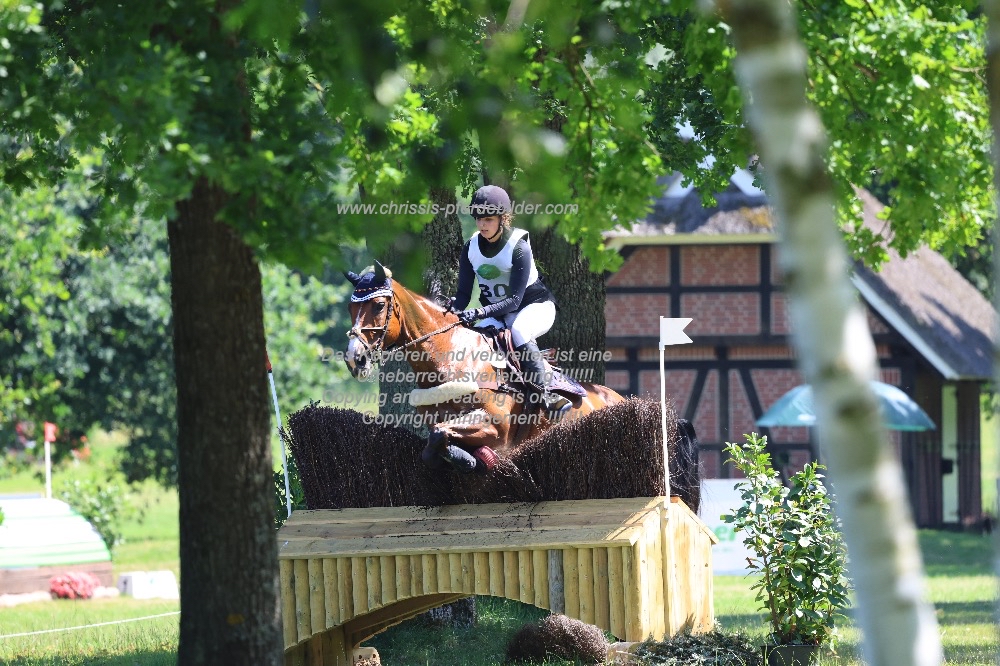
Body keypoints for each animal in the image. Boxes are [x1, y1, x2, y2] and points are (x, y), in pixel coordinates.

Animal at [344, 260, 624, 472]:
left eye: (379, 305)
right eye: (350, 308)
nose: (354, 359)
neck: (449, 358)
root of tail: (614, 397)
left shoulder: (497, 427)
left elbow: (441, 434)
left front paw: (471, 458)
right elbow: (433, 442)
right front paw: (467, 457)